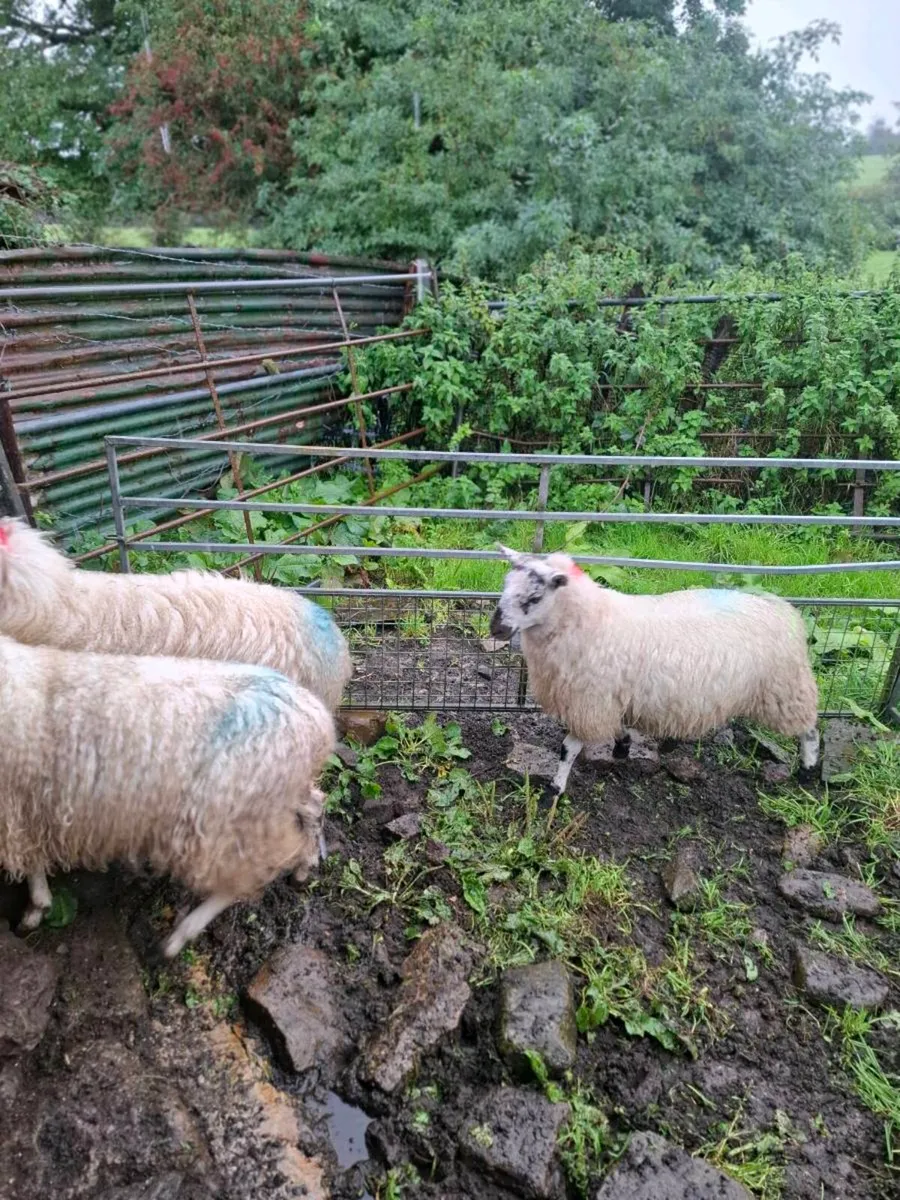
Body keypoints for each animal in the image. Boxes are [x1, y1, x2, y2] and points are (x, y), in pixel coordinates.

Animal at [0, 634, 335, 958]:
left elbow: (31, 861)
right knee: (314, 807)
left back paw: (178, 937)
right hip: (272, 801)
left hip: (219, 823)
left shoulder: (18, 808)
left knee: (255, 870)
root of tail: (317, 721)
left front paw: (35, 908)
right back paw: (305, 866)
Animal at [490, 546, 820, 801]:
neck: (588, 620)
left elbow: (567, 749)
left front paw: (554, 790)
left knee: (809, 729)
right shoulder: (610, 696)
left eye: (534, 597)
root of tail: (785, 611)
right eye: (505, 584)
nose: (496, 628)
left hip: (785, 689)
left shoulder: (590, 700)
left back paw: (808, 772)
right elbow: (618, 726)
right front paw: (622, 746)